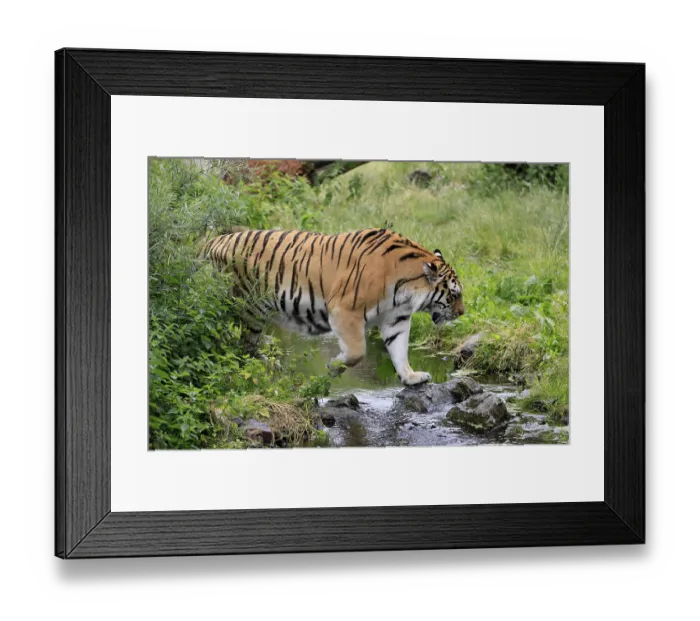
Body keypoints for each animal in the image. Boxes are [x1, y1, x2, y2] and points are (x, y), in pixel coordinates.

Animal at [201, 228, 465, 386]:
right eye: (454, 294)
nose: (462, 313)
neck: (405, 290)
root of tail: (208, 242)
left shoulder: (396, 318)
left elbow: (399, 350)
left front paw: (411, 377)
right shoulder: (344, 311)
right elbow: (357, 352)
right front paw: (334, 367)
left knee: (246, 346)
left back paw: (270, 366)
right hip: (246, 307)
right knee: (236, 342)